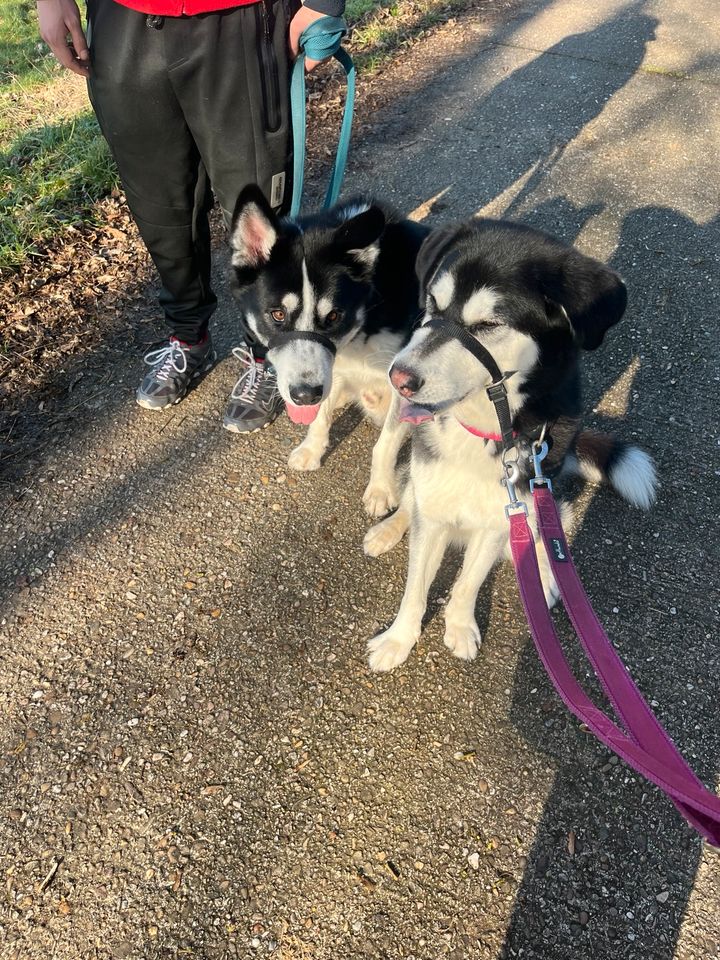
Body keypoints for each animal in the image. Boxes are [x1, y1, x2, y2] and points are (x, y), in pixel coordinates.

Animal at [229, 188, 428, 516]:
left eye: (334, 316)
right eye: (278, 314)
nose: (303, 395)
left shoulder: (406, 386)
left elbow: (385, 444)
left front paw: (380, 489)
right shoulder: (329, 368)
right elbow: (320, 415)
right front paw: (311, 449)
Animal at [366, 217, 660, 672]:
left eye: (487, 326)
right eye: (431, 304)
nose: (397, 377)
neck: (487, 431)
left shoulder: (503, 514)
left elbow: (469, 583)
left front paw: (459, 625)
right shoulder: (434, 506)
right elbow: (415, 586)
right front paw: (399, 640)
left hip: (544, 500)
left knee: (548, 534)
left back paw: (546, 577)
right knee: (412, 501)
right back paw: (388, 529)